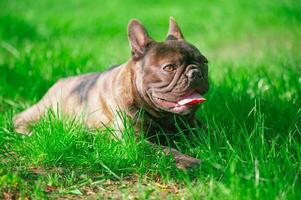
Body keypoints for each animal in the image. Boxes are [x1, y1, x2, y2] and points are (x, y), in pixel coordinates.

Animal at [12, 17, 207, 170]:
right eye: (169, 68)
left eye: (204, 62)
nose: (196, 72)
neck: (165, 117)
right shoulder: (135, 141)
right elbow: (165, 151)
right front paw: (191, 162)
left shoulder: (195, 125)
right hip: (45, 111)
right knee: (20, 119)